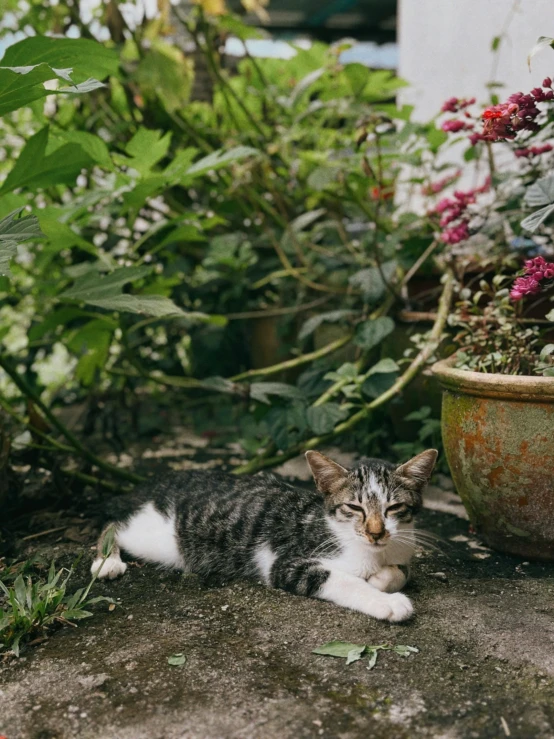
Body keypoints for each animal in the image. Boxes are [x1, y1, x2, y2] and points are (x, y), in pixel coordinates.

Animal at [90, 448, 436, 620]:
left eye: (394, 508)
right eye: (354, 507)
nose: (376, 533)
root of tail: (163, 480)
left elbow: (403, 571)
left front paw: (382, 579)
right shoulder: (285, 563)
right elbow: (342, 580)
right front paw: (387, 602)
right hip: (160, 538)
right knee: (115, 524)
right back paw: (107, 560)